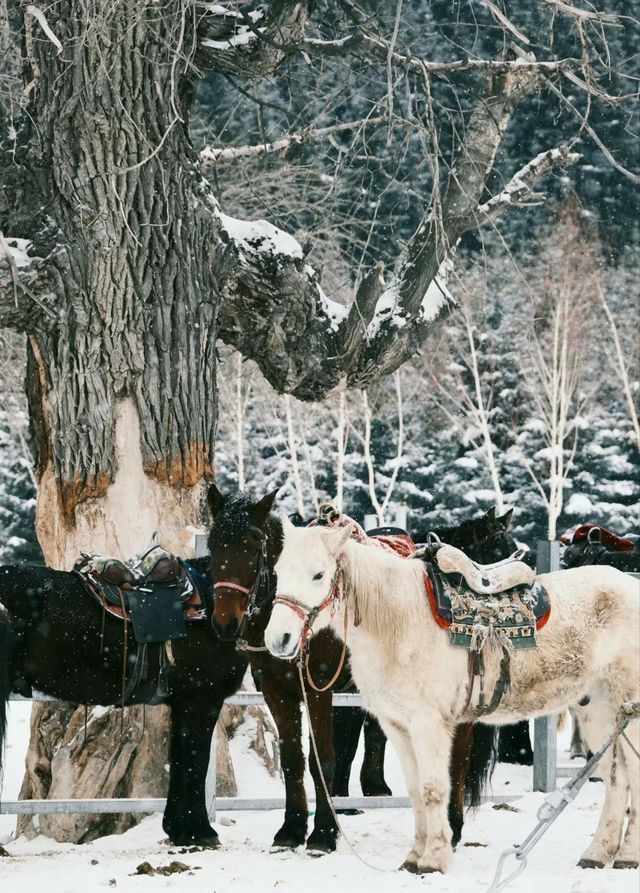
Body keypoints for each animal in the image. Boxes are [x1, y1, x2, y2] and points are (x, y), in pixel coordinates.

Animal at [264, 520, 640, 876]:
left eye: (318, 574)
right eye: (279, 571)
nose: (278, 639)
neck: (400, 620)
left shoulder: (428, 723)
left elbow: (434, 789)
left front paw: (434, 860)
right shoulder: (397, 725)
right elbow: (416, 791)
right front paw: (415, 857)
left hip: (629, 712)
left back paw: (626, 856)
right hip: (599, 713)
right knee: (617, 779)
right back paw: (597, 853)